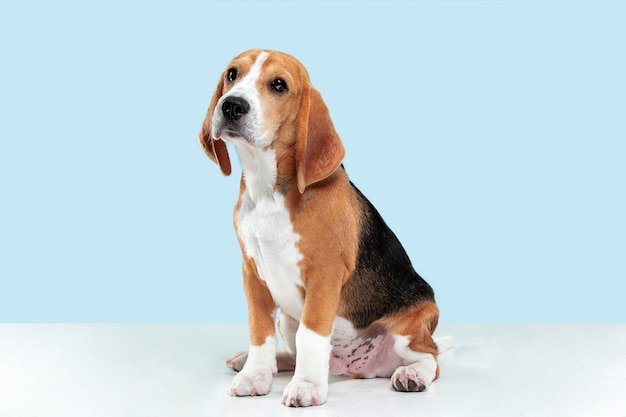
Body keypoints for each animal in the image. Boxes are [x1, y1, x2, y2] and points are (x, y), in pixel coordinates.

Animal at [197, 49, 446, 406]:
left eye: (279, 84)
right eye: (232, 74)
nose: (231, 105)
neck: (268, 190)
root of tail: (361, 368)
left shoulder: (324, 274)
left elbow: (312, 333)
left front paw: (307, 387)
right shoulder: (252, 273)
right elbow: (260, 331)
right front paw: (255, 375)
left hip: (412, 325)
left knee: (431, 356)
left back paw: (412, 375)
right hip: (287, 318)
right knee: (294, 349)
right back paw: (260, 362)